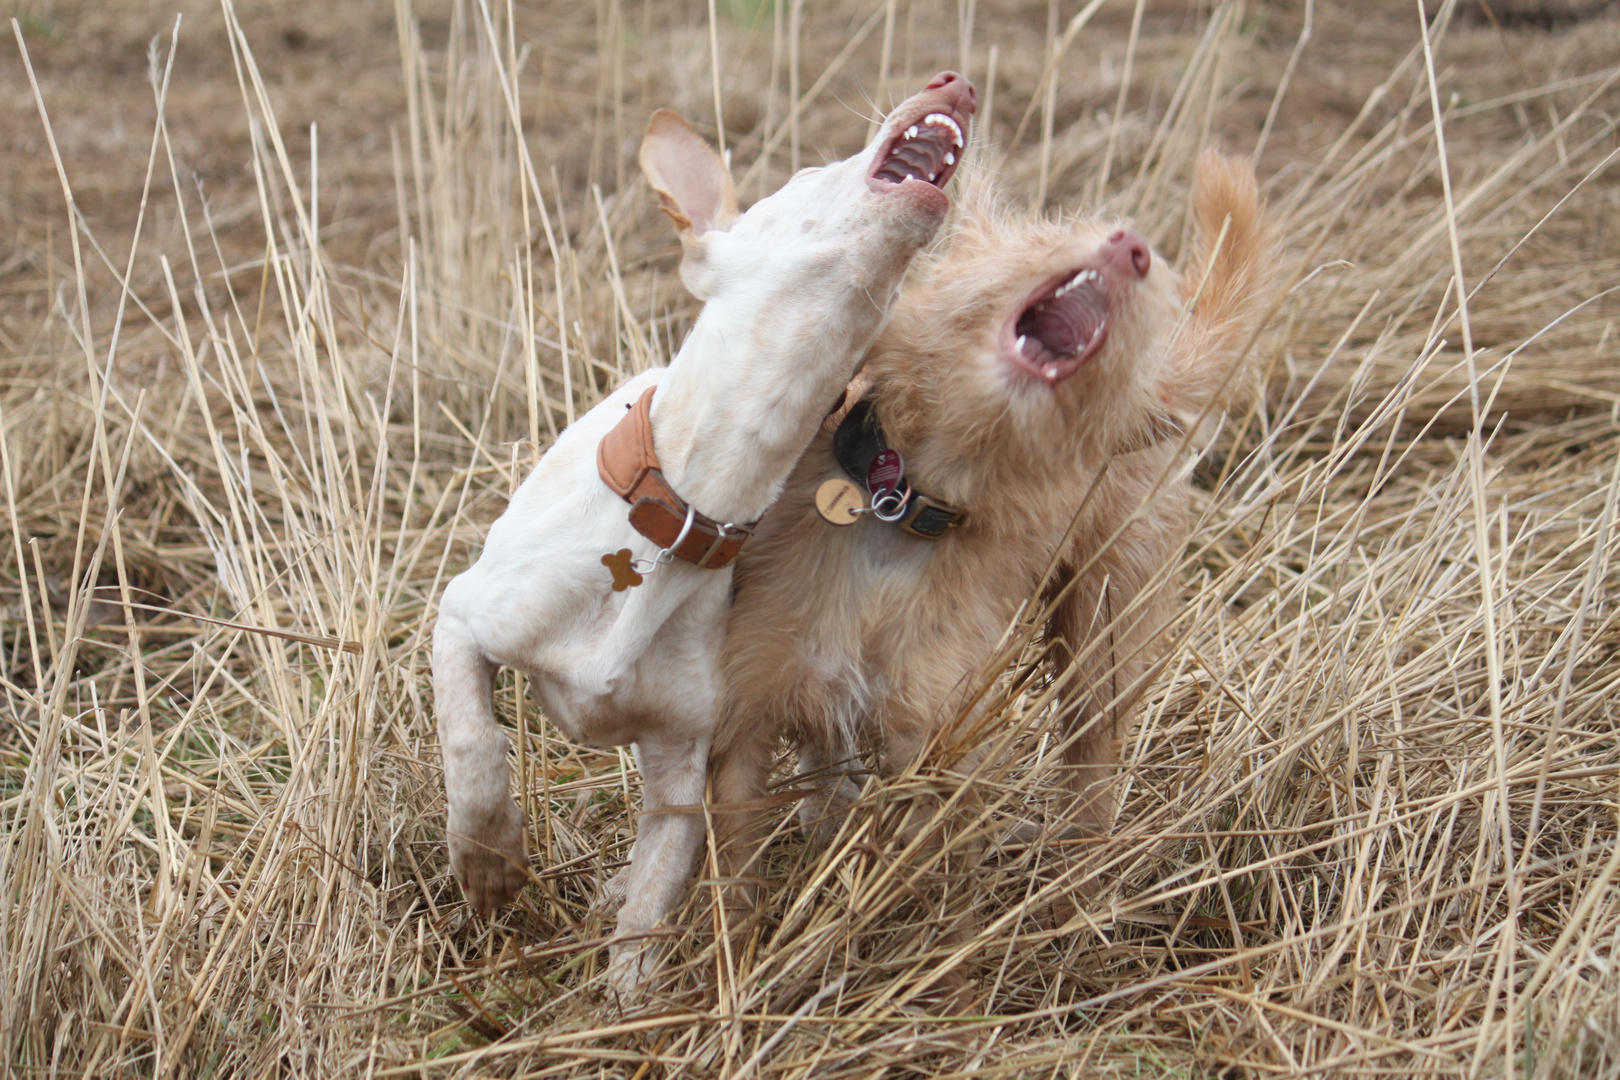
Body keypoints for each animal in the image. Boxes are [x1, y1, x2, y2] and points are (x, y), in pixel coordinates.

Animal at [430, 74, 972, 990]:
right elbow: (473, 749)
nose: (953, 83)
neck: (690, 509)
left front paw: (630, 998)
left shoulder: (684, 765)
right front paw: (489, 861)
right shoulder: (462, 618)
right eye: (808, 172)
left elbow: (651, 908)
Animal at [709, 152, 1276, 893]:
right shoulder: (748, 709)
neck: (905, 503)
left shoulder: (933, 741)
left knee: (1093, 751)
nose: (1134, 247)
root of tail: (1151, 398)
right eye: (1040, 241)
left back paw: (1079, 870)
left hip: (1103, 625)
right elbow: (733, 872)